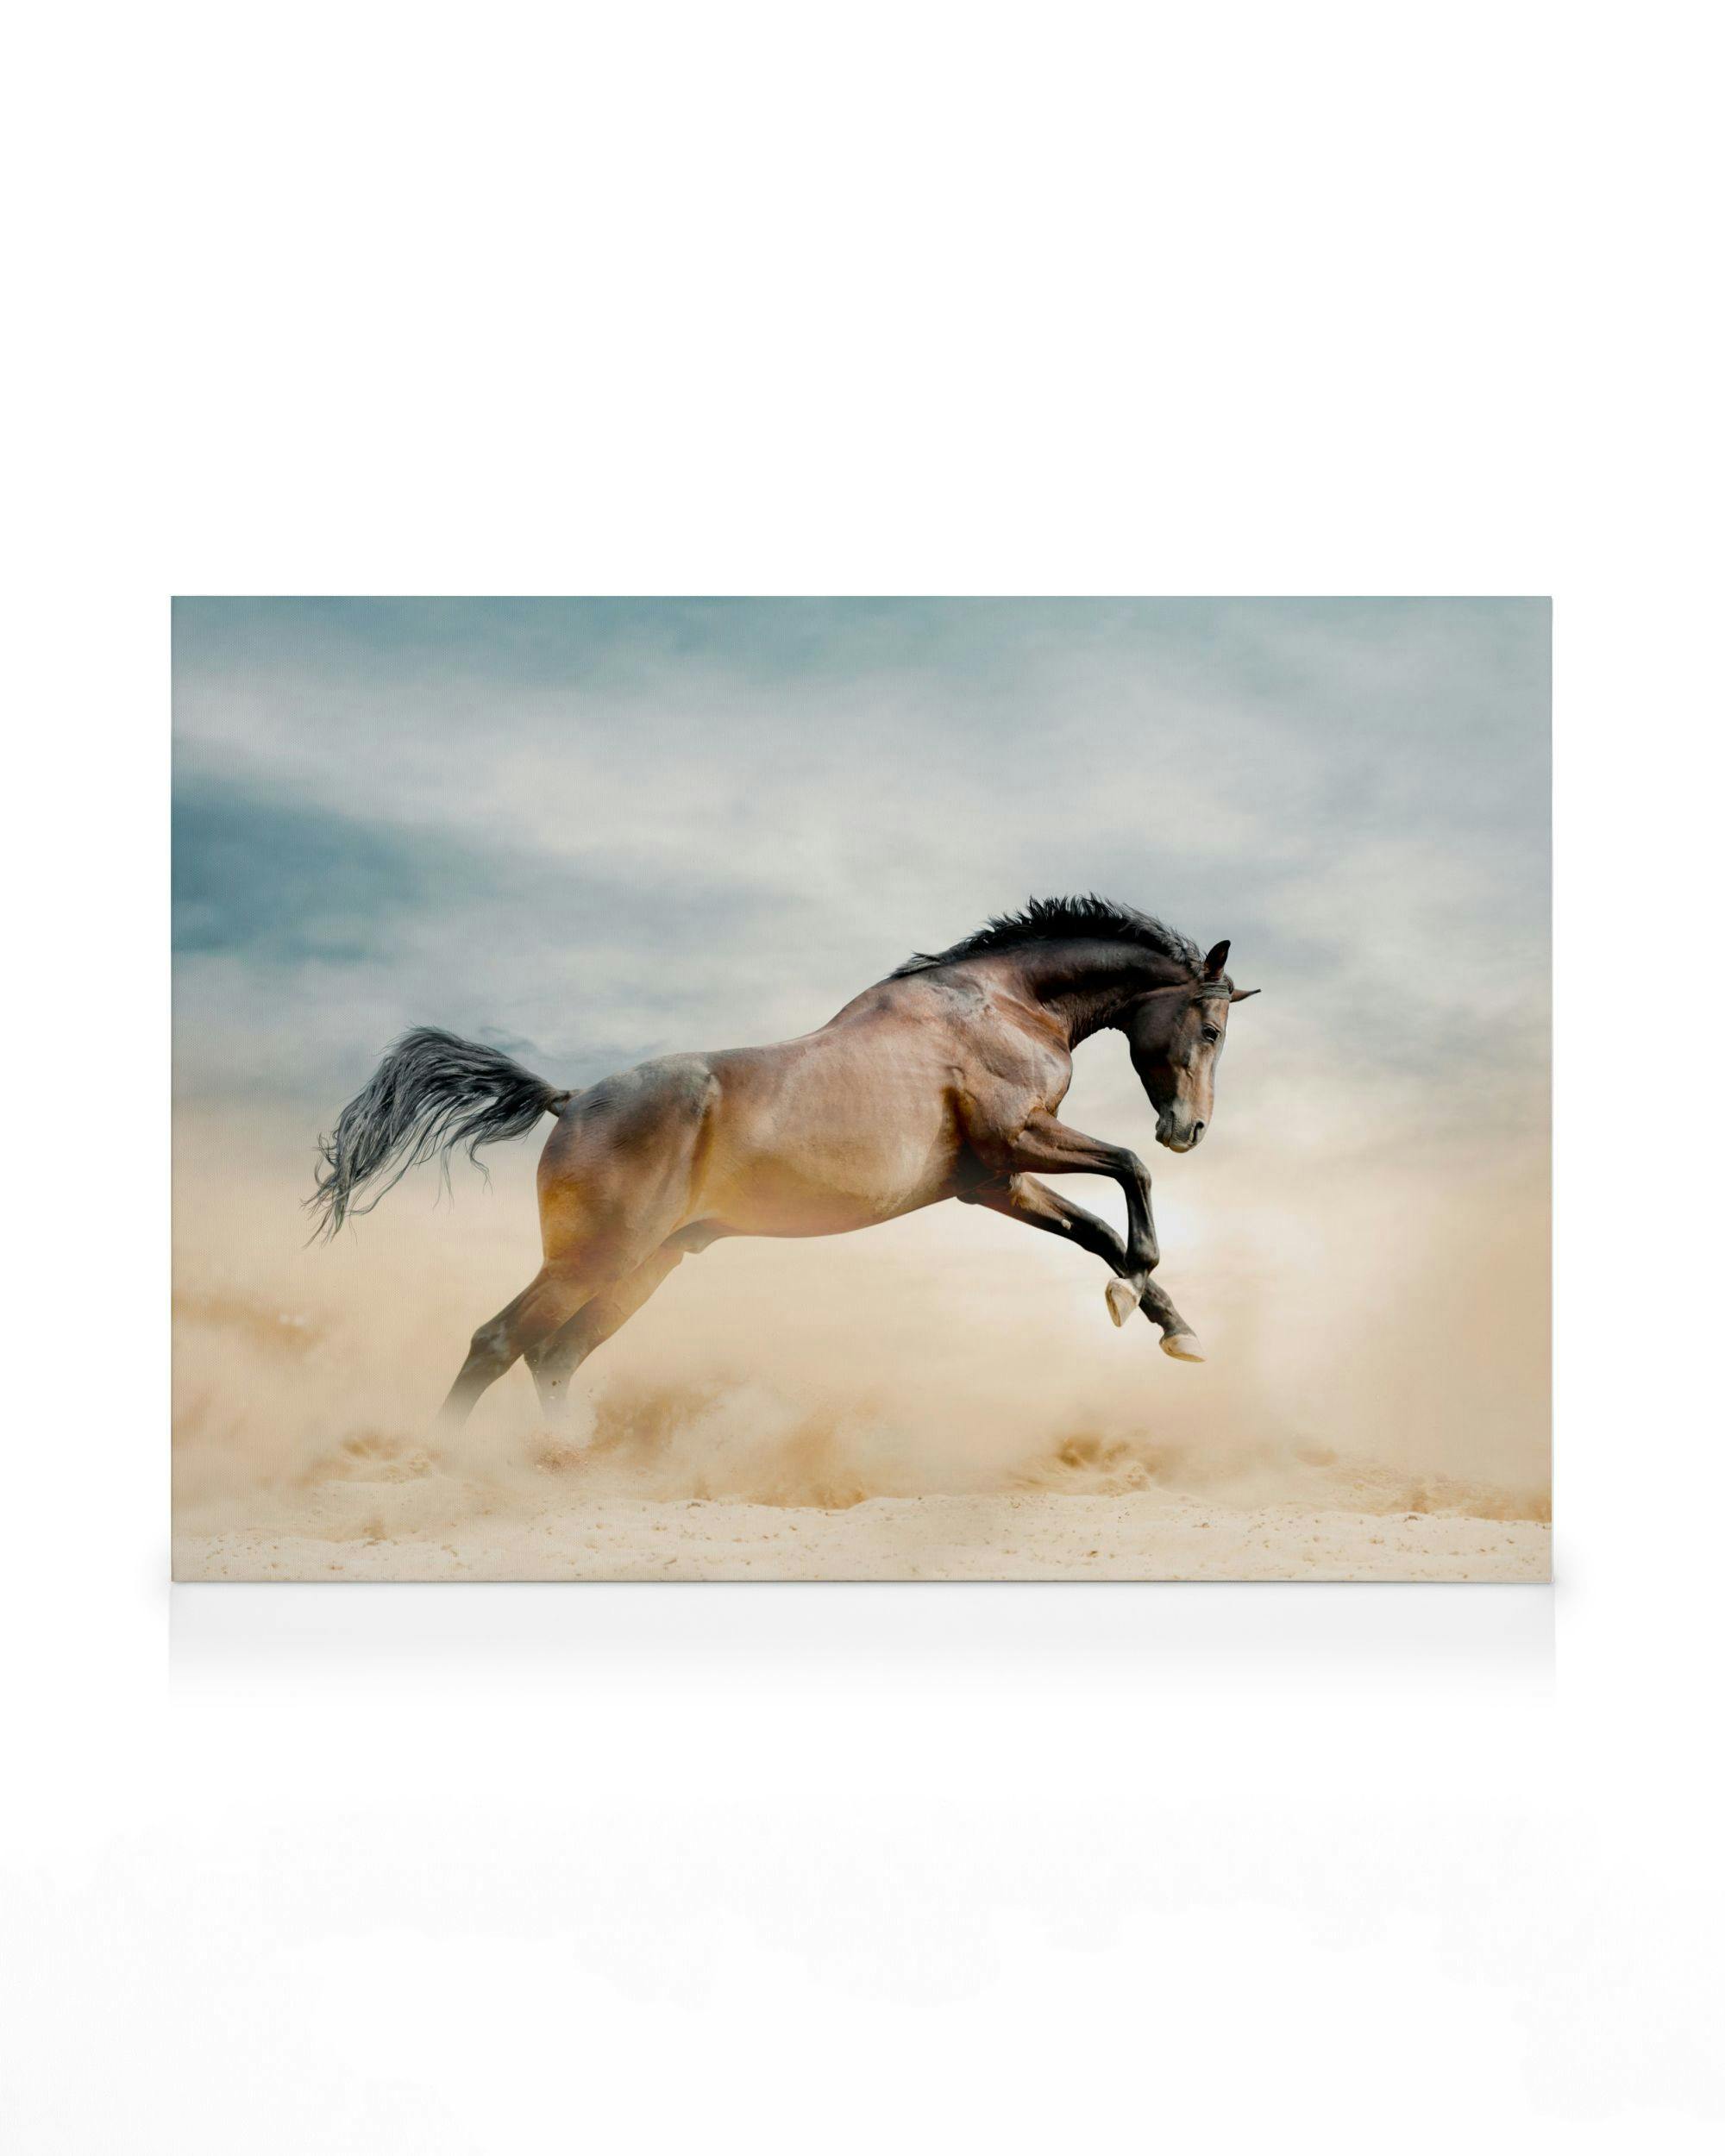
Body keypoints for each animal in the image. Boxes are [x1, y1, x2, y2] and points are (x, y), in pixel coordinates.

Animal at [308, 896, 1259, 1430]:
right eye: (1210, 1028)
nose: (1189, 1128)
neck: (1003, 1003)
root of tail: (570, 1102)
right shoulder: (1014, 1144)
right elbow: (1128, 1176)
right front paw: (1139, 1295)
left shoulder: (990, 1182)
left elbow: (1098, 1227)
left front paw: (1171, 1326)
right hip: (596, 1255)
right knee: (499, 1340)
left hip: (645, 1265)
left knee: (556, 1355)